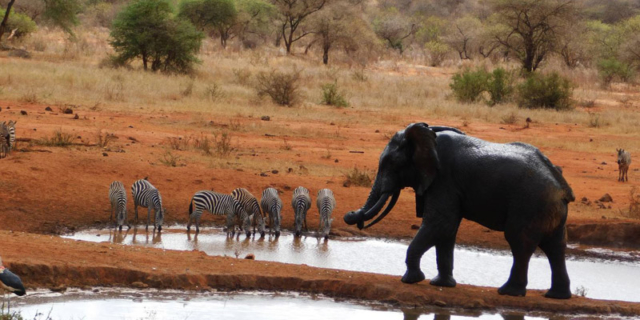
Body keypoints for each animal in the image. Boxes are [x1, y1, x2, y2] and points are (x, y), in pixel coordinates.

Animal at [344, 123, 576, 300]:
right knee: (555, 247)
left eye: (391, 163)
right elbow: (447, 230)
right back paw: (556, 296)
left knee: (520, 243)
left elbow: (440, 223)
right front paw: (441, 284)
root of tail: (562, 187)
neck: (427, 135)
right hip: (548, 209)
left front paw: (410, 280)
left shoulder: (443, 179)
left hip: (530, 204)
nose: (352, 215)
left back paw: (508, 292)